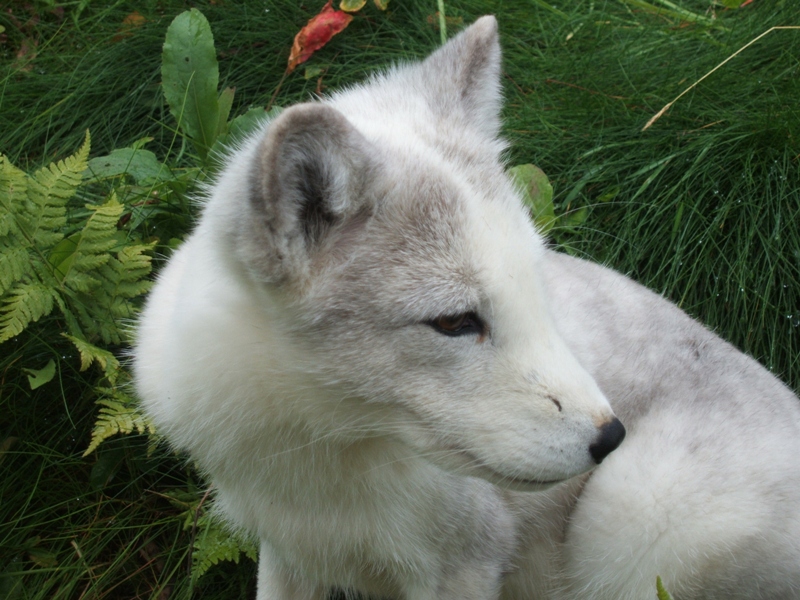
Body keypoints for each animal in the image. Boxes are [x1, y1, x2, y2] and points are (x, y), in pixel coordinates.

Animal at [134, 17, 800, 600]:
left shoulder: (468, 563)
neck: (313, 457)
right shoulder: (288, 554)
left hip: (623, 522)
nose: (611, 436)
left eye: (535, 286)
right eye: (455, 323)